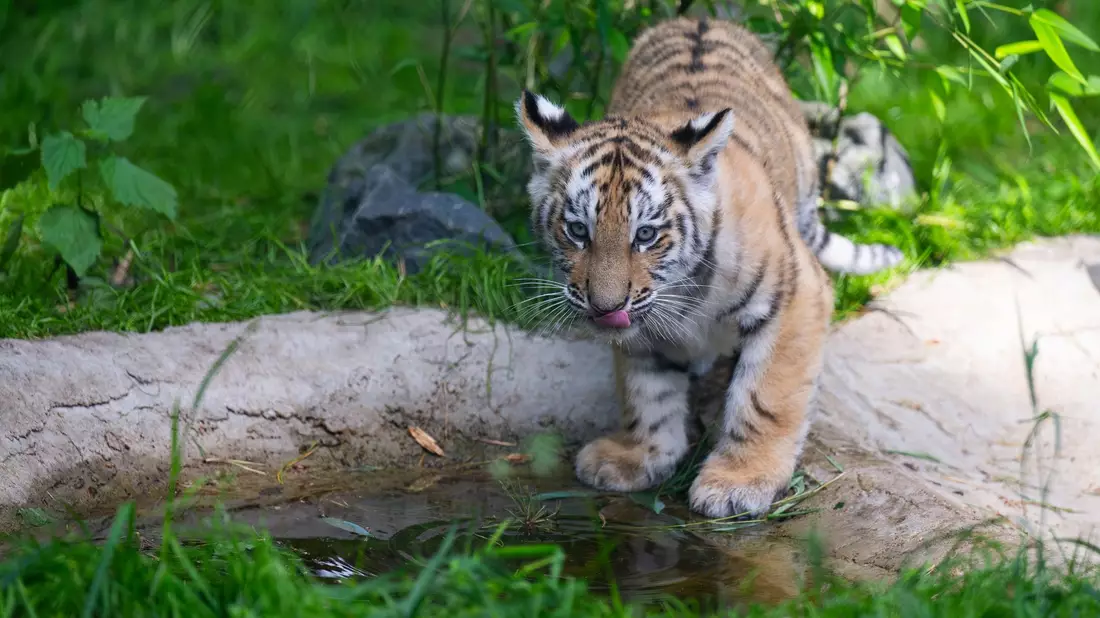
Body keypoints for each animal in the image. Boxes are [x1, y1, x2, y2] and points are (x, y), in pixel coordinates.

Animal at [514, 16, 903, 518]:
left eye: (646, 235)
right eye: (578, 230)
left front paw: (739, 482)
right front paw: (638, 456)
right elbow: (648, 394)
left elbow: (765, 398)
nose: (604, 307)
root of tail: (700, 18)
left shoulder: (798, 296)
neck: (680, 293)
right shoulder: (640, 329)